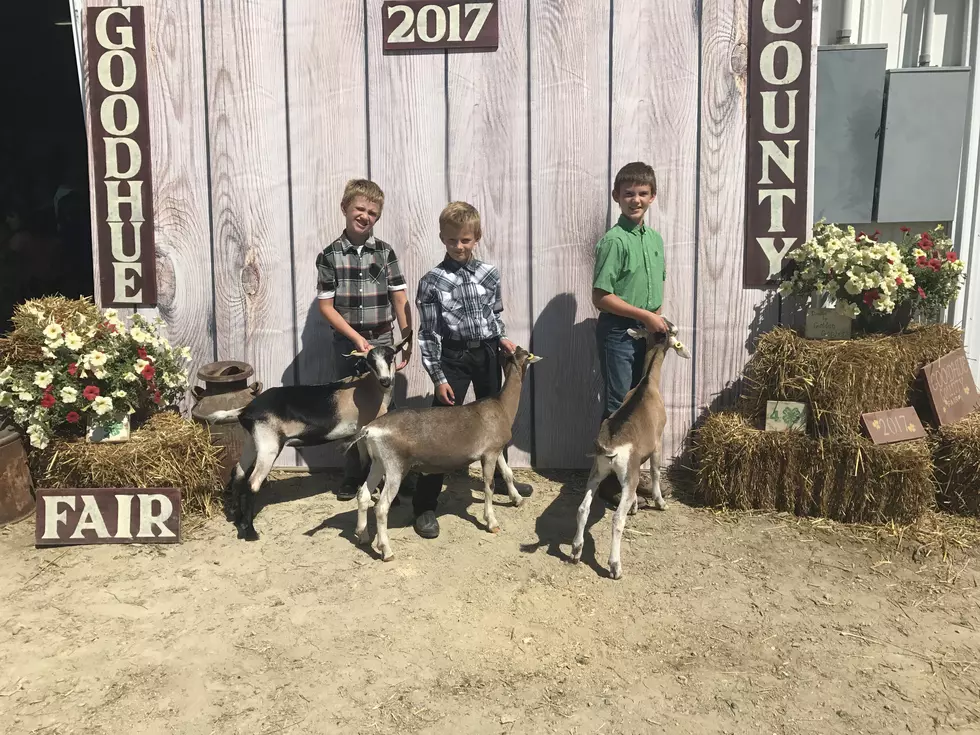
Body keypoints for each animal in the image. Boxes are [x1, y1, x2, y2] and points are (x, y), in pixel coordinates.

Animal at [203, 332, 410, 540]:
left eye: (390, 357)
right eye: (370, 361)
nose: (385, 380)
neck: (369, 388)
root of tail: (246, 410)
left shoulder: (359, 434)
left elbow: (363, 463)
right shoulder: (367, 432)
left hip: (252, 442)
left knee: (238, 472)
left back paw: (238, 519)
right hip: (269, 445)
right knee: (253, 483)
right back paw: (251, 531)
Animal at [344, 348, 544, 560]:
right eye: (528, 355)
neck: (502, 406)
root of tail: (369, 429)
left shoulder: (496, 450)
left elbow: (508, 473)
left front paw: (518, 499)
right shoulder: (489, 454)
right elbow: (489, 486)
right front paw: (492, 523)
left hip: (378, 463)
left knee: (363, 495)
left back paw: (363, 536)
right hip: (394, 467)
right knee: (381, 507)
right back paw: (387, 551)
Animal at [568, 322, 688, 580]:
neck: (647, 384)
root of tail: (610, 446)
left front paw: (634, 504)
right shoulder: (658, 442)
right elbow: (655, 471)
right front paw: (660, 502)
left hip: (597, 471)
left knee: (583, 508)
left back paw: (575, 550)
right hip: (625, 472)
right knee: (616, 519)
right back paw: (615, 566)